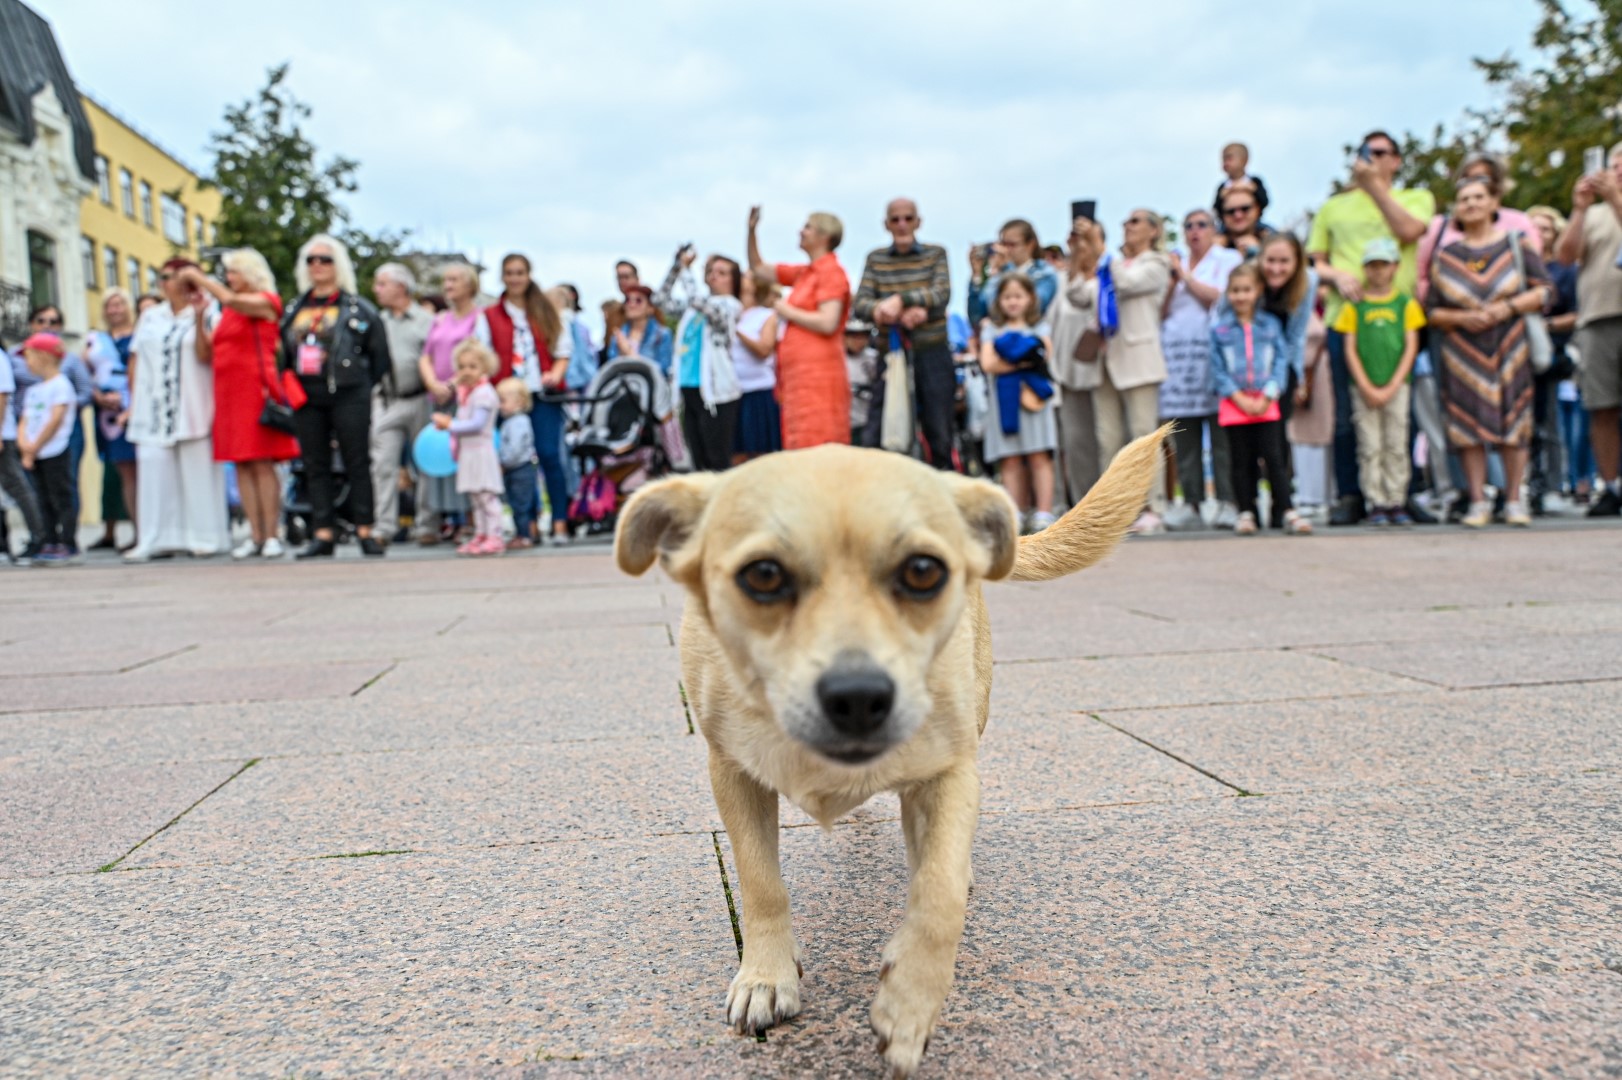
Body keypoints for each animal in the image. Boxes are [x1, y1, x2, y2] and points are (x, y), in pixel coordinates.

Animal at [615, 426, 1166, 1077]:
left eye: (924, 571)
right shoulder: (732, 773)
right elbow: (760, 881)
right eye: (764, 576)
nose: (858, 696)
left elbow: (940, 893)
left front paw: (909, 1006)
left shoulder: (953, 770)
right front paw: (766, 977)